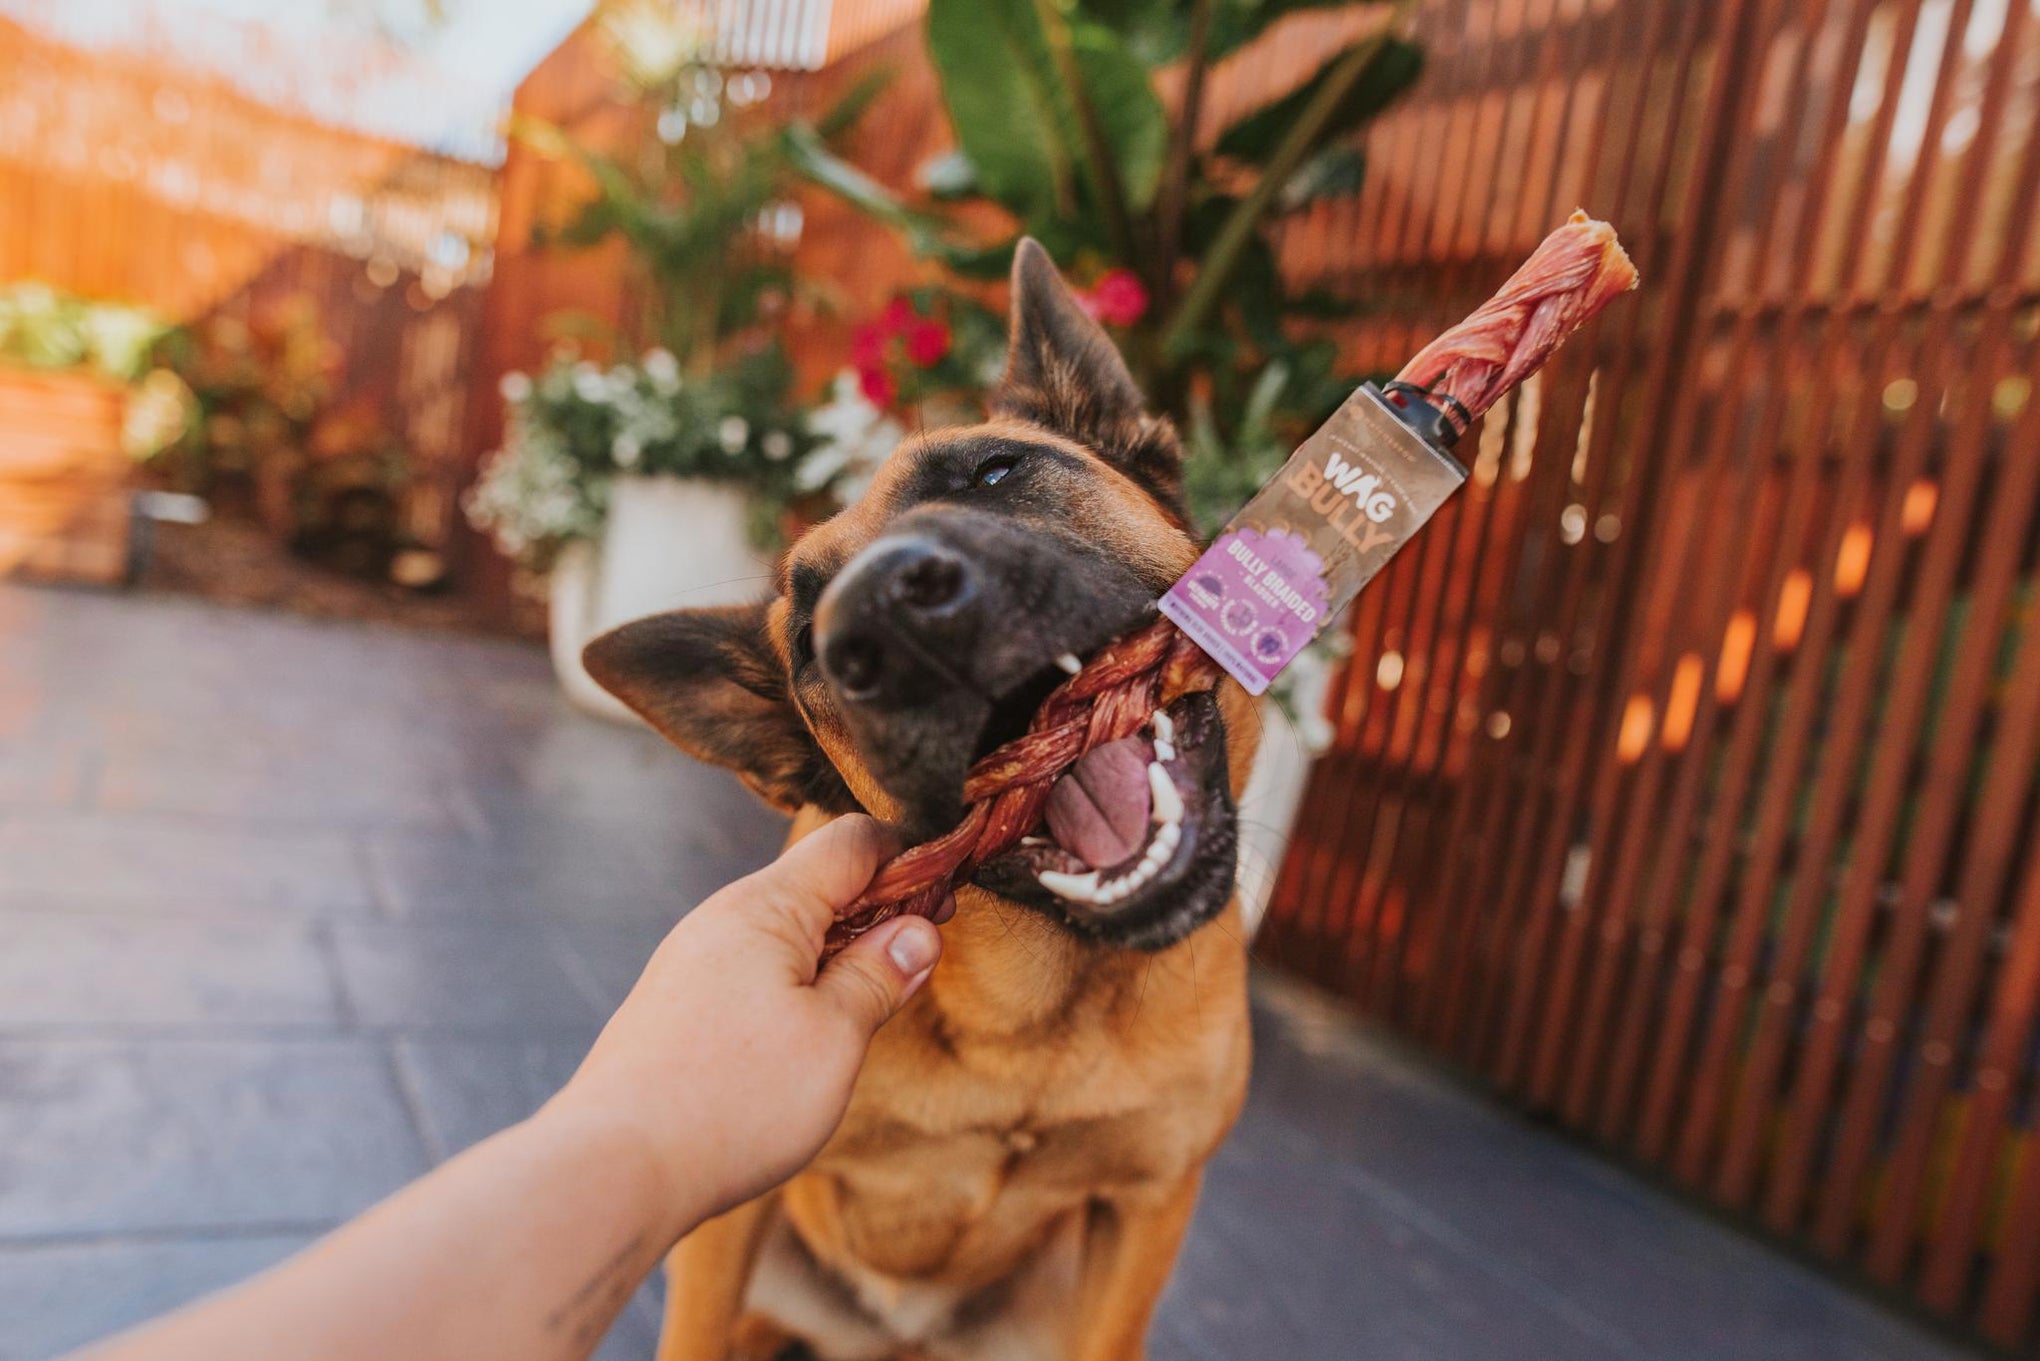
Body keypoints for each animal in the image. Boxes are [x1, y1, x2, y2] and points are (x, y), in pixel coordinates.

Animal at [587, 239, 1256, 1354]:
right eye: (808, 639)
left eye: (995, 470)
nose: (884, 615)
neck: (1038, 1019)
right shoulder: (728, 1208)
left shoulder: (1145, 1212)